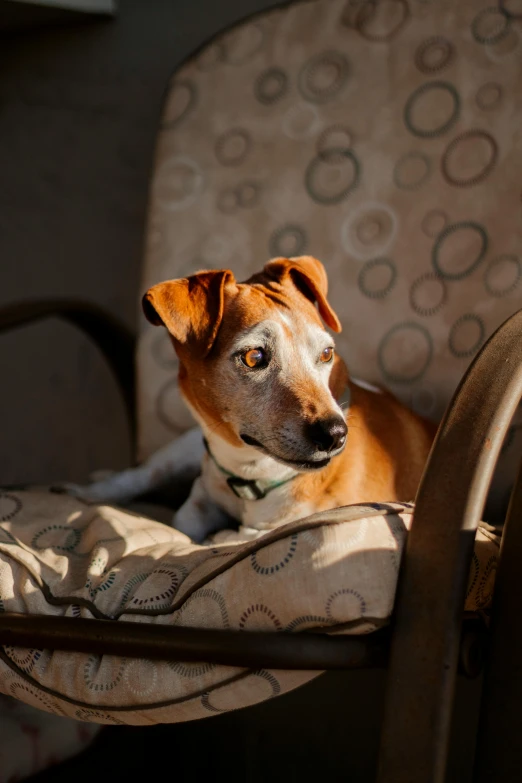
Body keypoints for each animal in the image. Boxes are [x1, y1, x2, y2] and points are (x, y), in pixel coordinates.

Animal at [69, 258, 434, 544]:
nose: (335, 434)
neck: (250, 474)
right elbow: (187, 517)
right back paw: (88, 491)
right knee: (144, 474)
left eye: (327, 353)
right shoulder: (202, 495)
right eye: (254, 357)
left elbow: (236, 534)